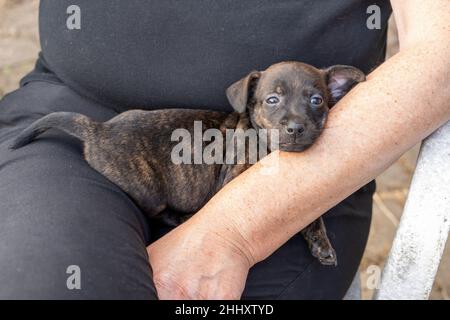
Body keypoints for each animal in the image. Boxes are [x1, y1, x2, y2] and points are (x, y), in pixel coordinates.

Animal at [9, 60, 366, 264]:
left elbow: (311, 214)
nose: (295, 128)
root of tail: (98, 129)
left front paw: (321, 243)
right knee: (162, 212)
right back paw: (183, 217)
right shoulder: (233, 179)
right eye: (272, 100)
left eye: (317, 100)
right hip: (149, 191)